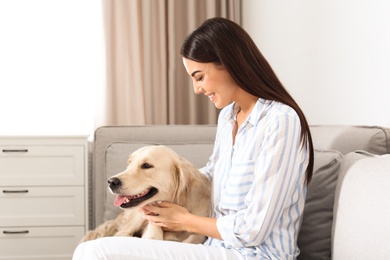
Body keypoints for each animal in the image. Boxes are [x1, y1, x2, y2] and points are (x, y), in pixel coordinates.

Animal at [80, 145, 212, 245]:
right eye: (129, 163)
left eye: (147, 165)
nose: (111, 182)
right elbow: (154, 235)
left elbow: (194, 238)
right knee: (121, 234)